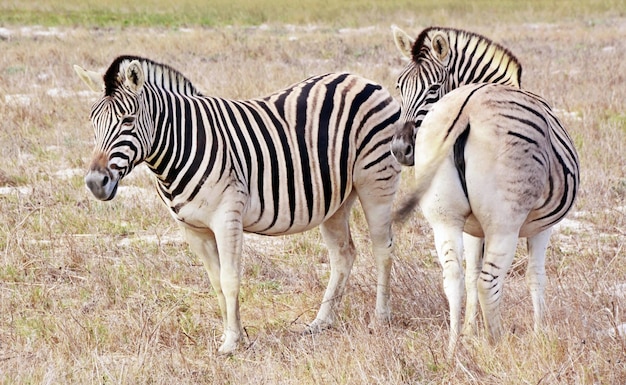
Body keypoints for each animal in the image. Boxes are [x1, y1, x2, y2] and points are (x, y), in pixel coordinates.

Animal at [74, 55, 400, 352]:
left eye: (127, 121)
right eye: (92, 122)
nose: (95, 183)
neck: (179, 147)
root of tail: (359, 78)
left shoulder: (227, 217)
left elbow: (230, 278)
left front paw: (231, 343)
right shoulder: (193, 229)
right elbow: (216, 282)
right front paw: (234, 335)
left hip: (376, 181)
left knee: (382, 250)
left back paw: (380, 319)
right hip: (335, 198)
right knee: (343, 255)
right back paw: (321, 322)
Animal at [390, 25, 580, 352]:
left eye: (433, 87)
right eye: (400, 87)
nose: (401, 150)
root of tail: (467, 108)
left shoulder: (470, 228)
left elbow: (469, 274)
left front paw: (468, 333)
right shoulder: (543, 227)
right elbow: (535, 276)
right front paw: (540, 334)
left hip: (443, 217)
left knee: (453, 278)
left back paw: (453, 348)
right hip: (504, 223)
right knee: (489, 281)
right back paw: (498, 344)